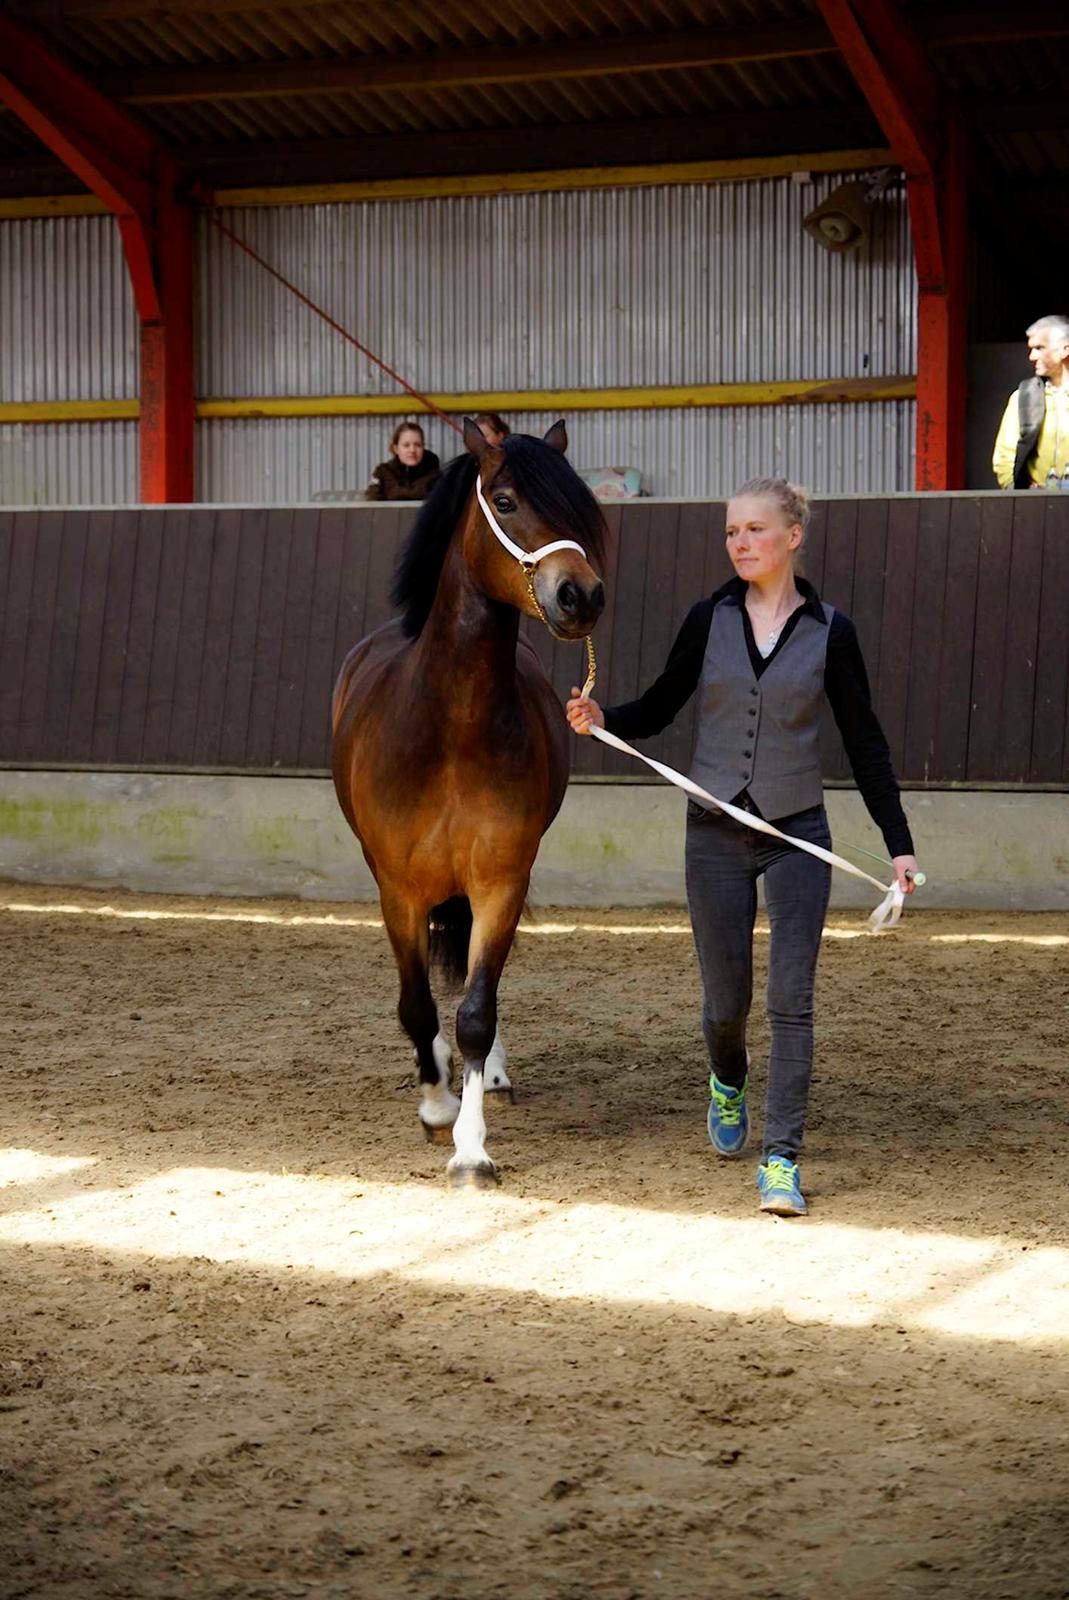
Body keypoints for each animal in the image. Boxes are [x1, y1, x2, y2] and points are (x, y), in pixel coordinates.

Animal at [329, 419, 604, 1184]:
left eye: (581, 506)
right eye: (504, 501)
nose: (581, 597)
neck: (452, 725)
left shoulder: (500, 881)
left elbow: (477, 1009)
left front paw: (472, 1146)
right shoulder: (398, 890)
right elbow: (417, 1005)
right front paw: (434, 1107)